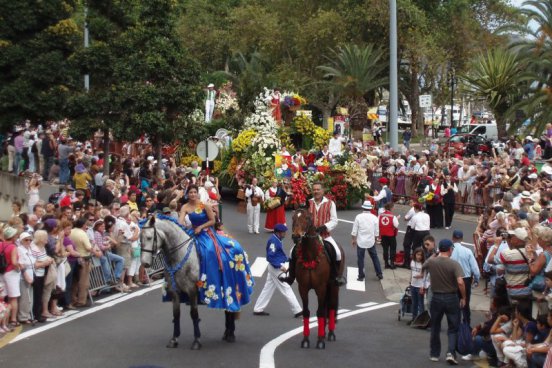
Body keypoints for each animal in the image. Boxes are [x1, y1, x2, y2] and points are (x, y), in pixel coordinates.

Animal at [139, 216, 236, 350]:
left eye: (149, 237)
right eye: (140, 239)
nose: (145, 263)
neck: (179, 256)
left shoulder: (192, 290)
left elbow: (194, 314)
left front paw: (196, 341)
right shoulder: (174, 291)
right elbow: (176, 314)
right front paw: (174, 339)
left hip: (231, 287)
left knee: (231, 310)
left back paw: (231, 334)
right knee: (227, 309)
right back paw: (227, 333)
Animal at [292, 208, 338, 350]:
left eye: (307, 218)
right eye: (293, 218)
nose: (296, 237)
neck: (310, 256)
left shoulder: (321, 288)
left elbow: (320, 312)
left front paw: (320, 341)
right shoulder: (303, 288)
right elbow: (306, 312)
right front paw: (305, 340)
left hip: (333, 287)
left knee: (331, 307)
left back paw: (330, 334)